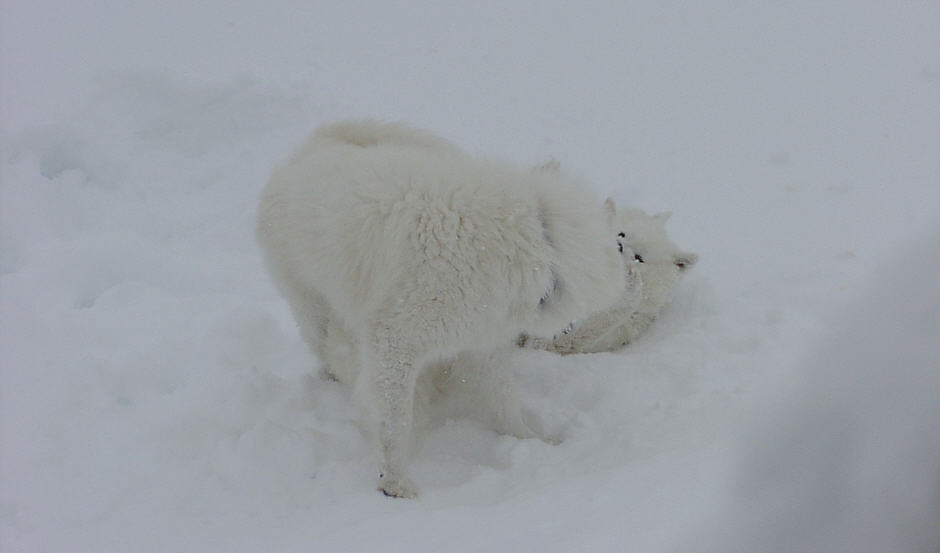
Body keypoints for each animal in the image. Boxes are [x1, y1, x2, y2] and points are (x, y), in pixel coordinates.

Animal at [255, 119, 632, 496]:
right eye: (619, 243)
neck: (539, 241)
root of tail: (310, 147)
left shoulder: (483, 341)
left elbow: (503, 399)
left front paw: (530, 439)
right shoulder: (396, 341)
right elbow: (394, 420)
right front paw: (395, 483)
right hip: (312, 304)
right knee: (325, 346)